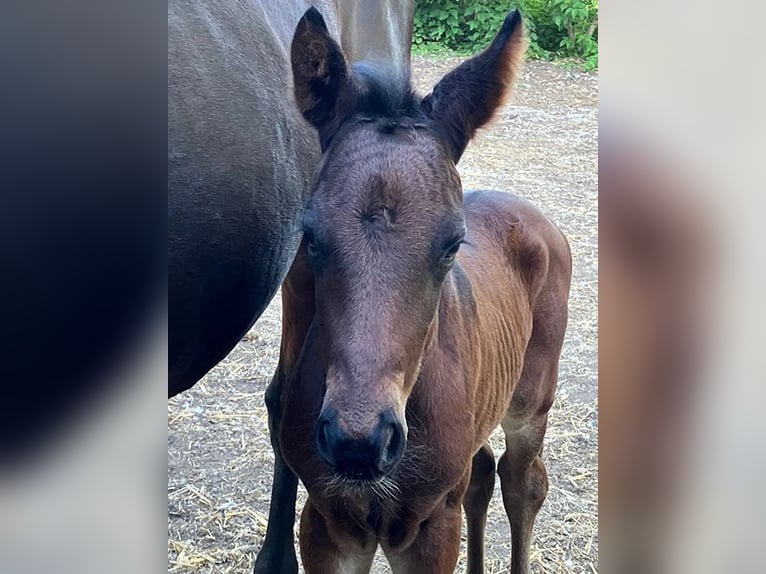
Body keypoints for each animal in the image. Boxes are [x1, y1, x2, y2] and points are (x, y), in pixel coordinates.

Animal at [267, 8, 572, 573]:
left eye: (452, 244)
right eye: (311, 236)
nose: (359, 443)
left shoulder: (430, 527)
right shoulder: (326, 523)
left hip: (531, 401)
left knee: (523, 481)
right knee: (481, 472)